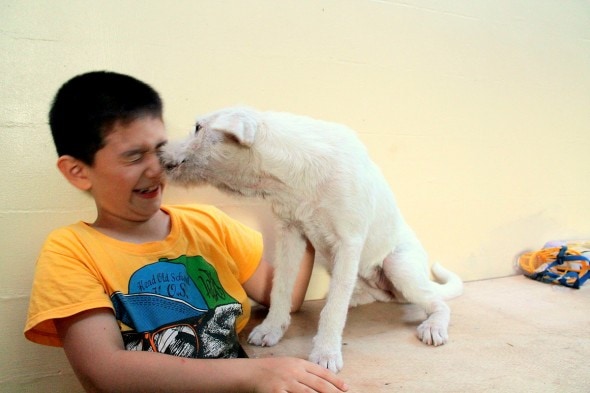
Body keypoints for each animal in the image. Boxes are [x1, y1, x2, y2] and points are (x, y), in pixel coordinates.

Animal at [160, 106, 464, 370]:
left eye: (198, 127)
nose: (160, 151)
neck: (293, 177)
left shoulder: (348, 243)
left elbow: (332, 312)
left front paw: (326, 352)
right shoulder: (290, 234)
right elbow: (281, 289)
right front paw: (272, 328)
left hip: (398, 267)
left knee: (436, 303)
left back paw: (433, 326)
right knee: (369, 294)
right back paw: (356, 297)